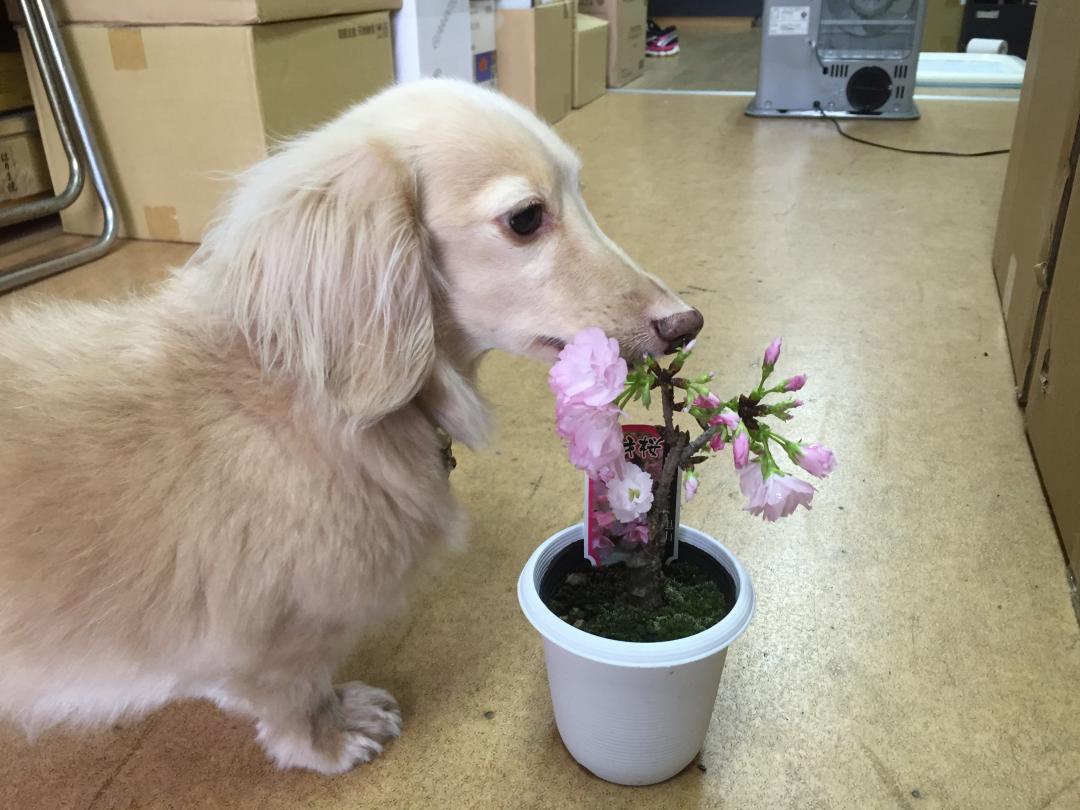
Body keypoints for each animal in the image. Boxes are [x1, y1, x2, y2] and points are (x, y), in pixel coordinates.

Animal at [0, 81, 699, 773]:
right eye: (526, 217)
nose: (686, 323)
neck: (305, 400)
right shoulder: (275, 633)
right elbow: (294, 690)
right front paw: (328, 736)